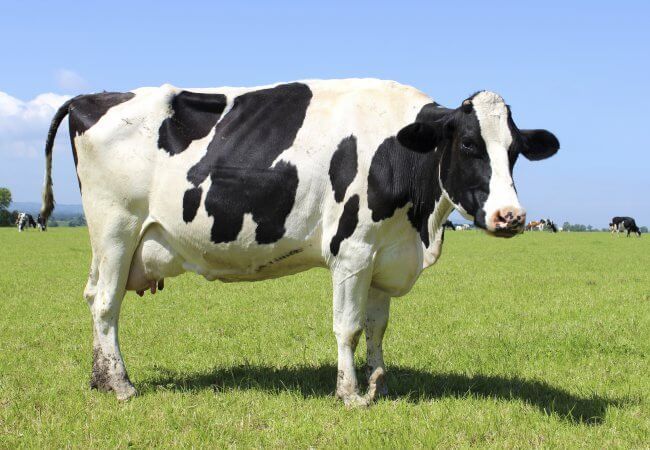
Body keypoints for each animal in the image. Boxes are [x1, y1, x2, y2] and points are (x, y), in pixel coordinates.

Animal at [40, 79, 559, 405]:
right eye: (469, 145)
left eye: (515, 150)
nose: (511, 216)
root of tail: (91, 97)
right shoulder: (352, 251)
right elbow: (348, 327)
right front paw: (350, 395)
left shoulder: (383, 254)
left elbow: (377, 328)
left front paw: (379, 383)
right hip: (116, 227)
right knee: (106, 304)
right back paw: (121, 385)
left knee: (92, 295)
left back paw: (99, 378)